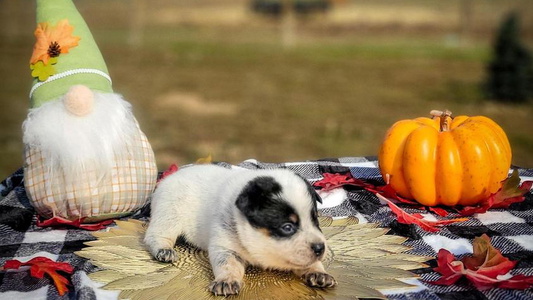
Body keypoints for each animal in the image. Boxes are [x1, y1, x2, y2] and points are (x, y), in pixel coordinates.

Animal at [143, 164, 334, 296]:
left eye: (315, 220)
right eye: (287, 227)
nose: (320, 248)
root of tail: (168, 178)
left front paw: (318, 272)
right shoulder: (225, 246)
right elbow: (228, 263)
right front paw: (226, 280)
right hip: (169, 212)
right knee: (155, 235)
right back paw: (164, 250)